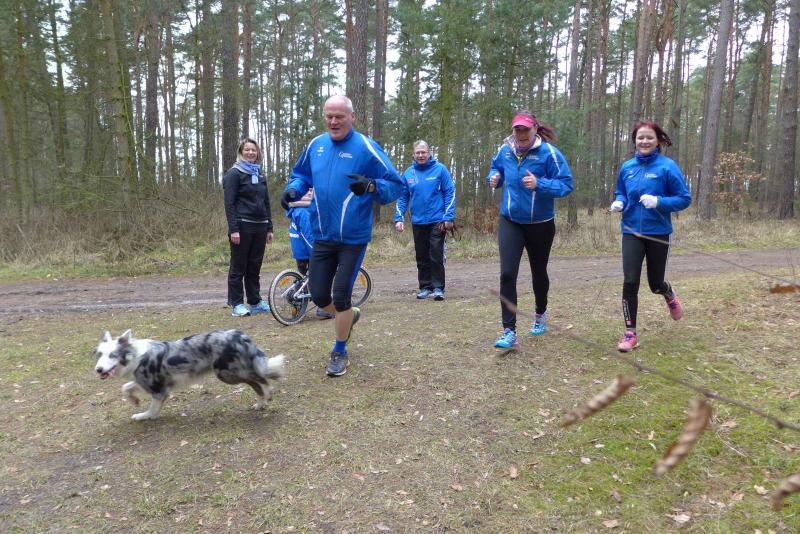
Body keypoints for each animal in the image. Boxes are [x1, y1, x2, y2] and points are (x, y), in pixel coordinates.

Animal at [95, 329, 285, 421]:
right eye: (99, 354)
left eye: (112, 355)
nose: (98, 369)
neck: (134, 355)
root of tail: (239, 336)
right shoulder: (147, 382)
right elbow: (125, 387)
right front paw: (134, 400)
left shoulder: (158, 389)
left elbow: (153, 408)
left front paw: (145, 416)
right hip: (230, 372)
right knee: (256, 382)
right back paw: (260, 404)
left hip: (227, 373)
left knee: (260, 377)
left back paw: (268, 394)